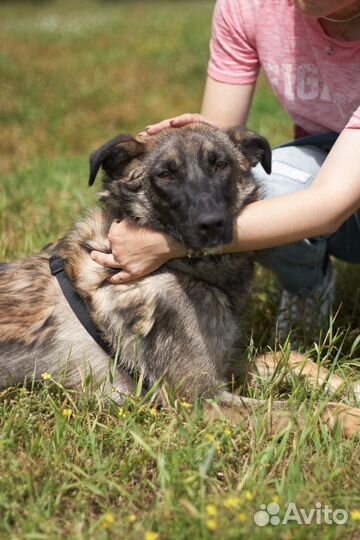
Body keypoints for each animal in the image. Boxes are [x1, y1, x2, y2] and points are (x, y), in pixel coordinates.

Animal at [0, 123, 360, 434]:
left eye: (221, 164)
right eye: (165, 174)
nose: (211, 223)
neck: (175, 268)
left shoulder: (224, 365)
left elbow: (289, 359)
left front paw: (350, 386)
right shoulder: (199, 398)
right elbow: (307, 409)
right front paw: (351, 415)